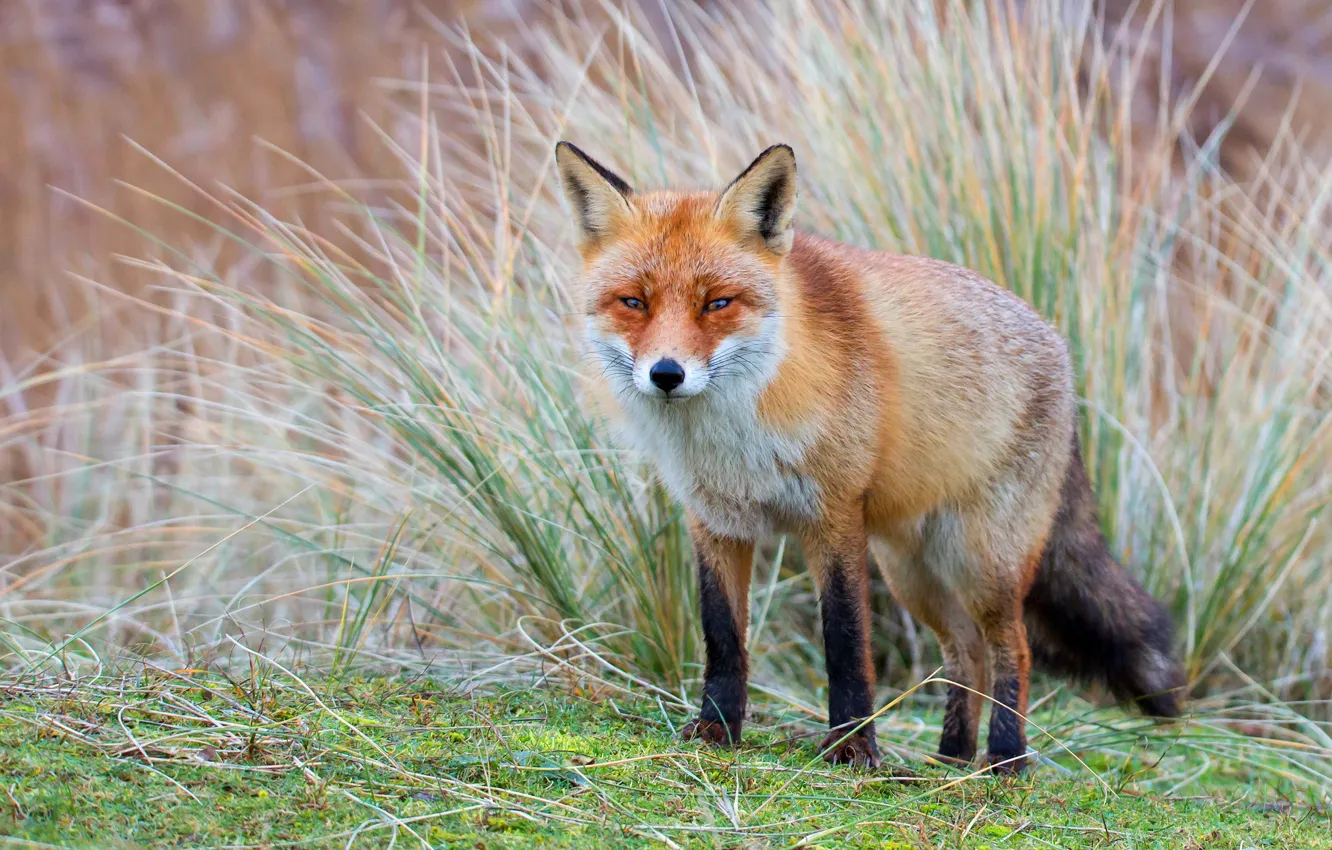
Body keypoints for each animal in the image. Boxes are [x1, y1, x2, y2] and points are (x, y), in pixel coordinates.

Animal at [556, 141, 1182, 772]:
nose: (666, 374)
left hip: (981, 560)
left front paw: (853, 747)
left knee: (1014, 648)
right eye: (634, 302)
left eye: (718, 303)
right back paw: (951, 759)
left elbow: (846, 640)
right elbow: (724, 637)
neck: (736, 435)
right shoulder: (716, 522)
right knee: (967, 653)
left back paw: (1005, 759)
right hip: (912, 572)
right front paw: (716, 729)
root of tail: (1059, 345)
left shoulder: (833, 517)